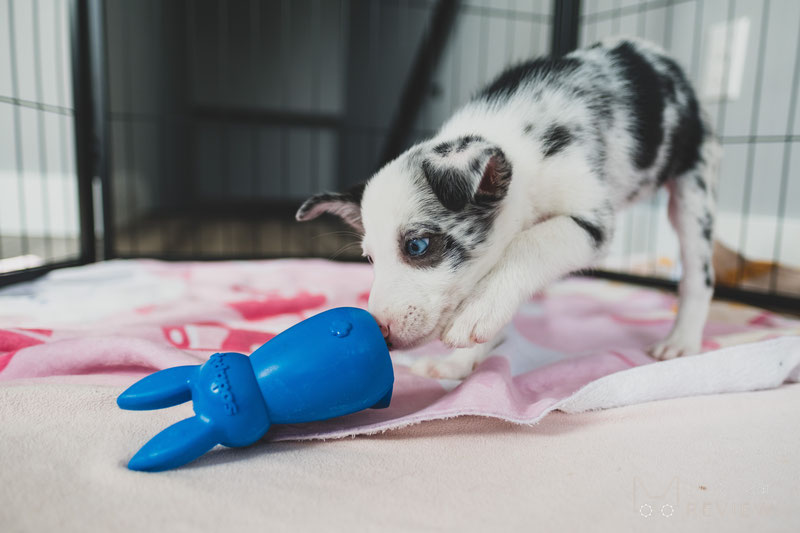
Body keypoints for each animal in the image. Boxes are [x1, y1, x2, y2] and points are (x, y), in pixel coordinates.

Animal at [296, 37, 720, 378]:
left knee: (698, 274)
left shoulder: (589, 221)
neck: (516, 141)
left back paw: (681, 340)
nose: (380, 331)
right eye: (369, 259)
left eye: (417, 246)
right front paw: (459, 362)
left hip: (693, 187)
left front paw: (477, 312)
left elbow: (528, 243)